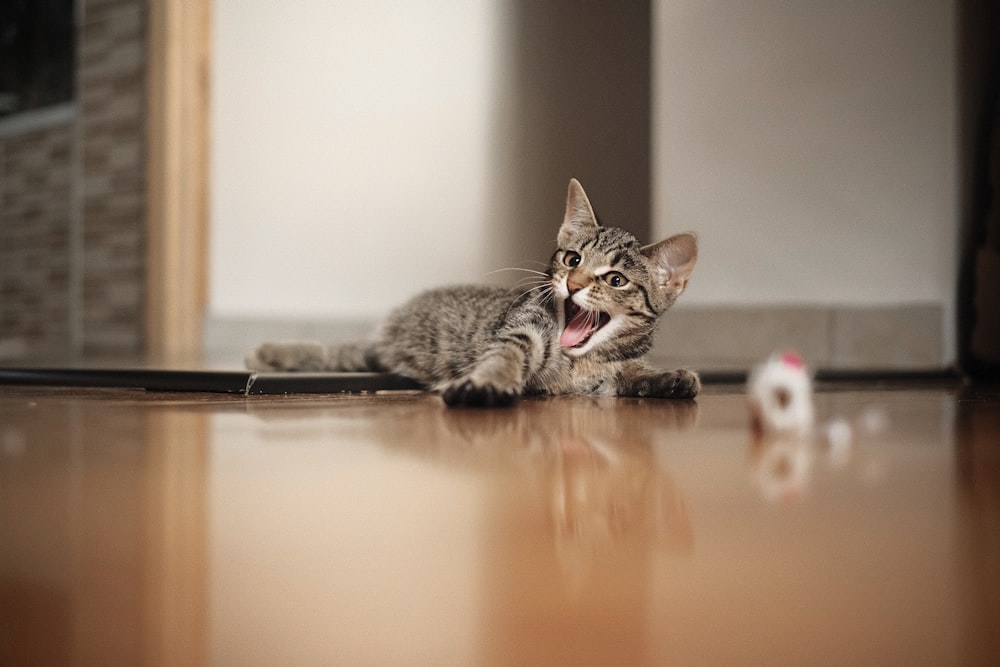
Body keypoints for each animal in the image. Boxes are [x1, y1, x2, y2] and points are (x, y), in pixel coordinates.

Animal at [246, 179, 700, 408]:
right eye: (572, 259)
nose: (573, 284)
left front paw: (667, 377)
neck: (581, 361)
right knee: (336, 352)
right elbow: (506, 355)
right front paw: (488, 382)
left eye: (616, 280)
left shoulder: (603, 379)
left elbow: (629, 374)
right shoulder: (523, 331)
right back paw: (270, 353)